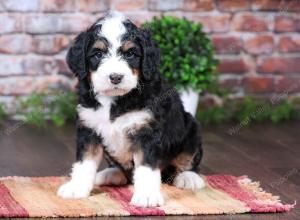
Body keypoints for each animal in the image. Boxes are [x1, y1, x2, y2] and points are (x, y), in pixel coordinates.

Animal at [57, 11, 205, 208]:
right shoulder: (88, 128)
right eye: (98, 54)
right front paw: (76, 188)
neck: (115, 100)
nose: (115, 77)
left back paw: (189, 178)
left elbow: (146, 168)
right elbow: (84, 162)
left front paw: (147, 196)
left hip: (191, 127)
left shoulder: (147, 132)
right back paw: (110, 174)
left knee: (187, 161)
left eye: (131, 54)